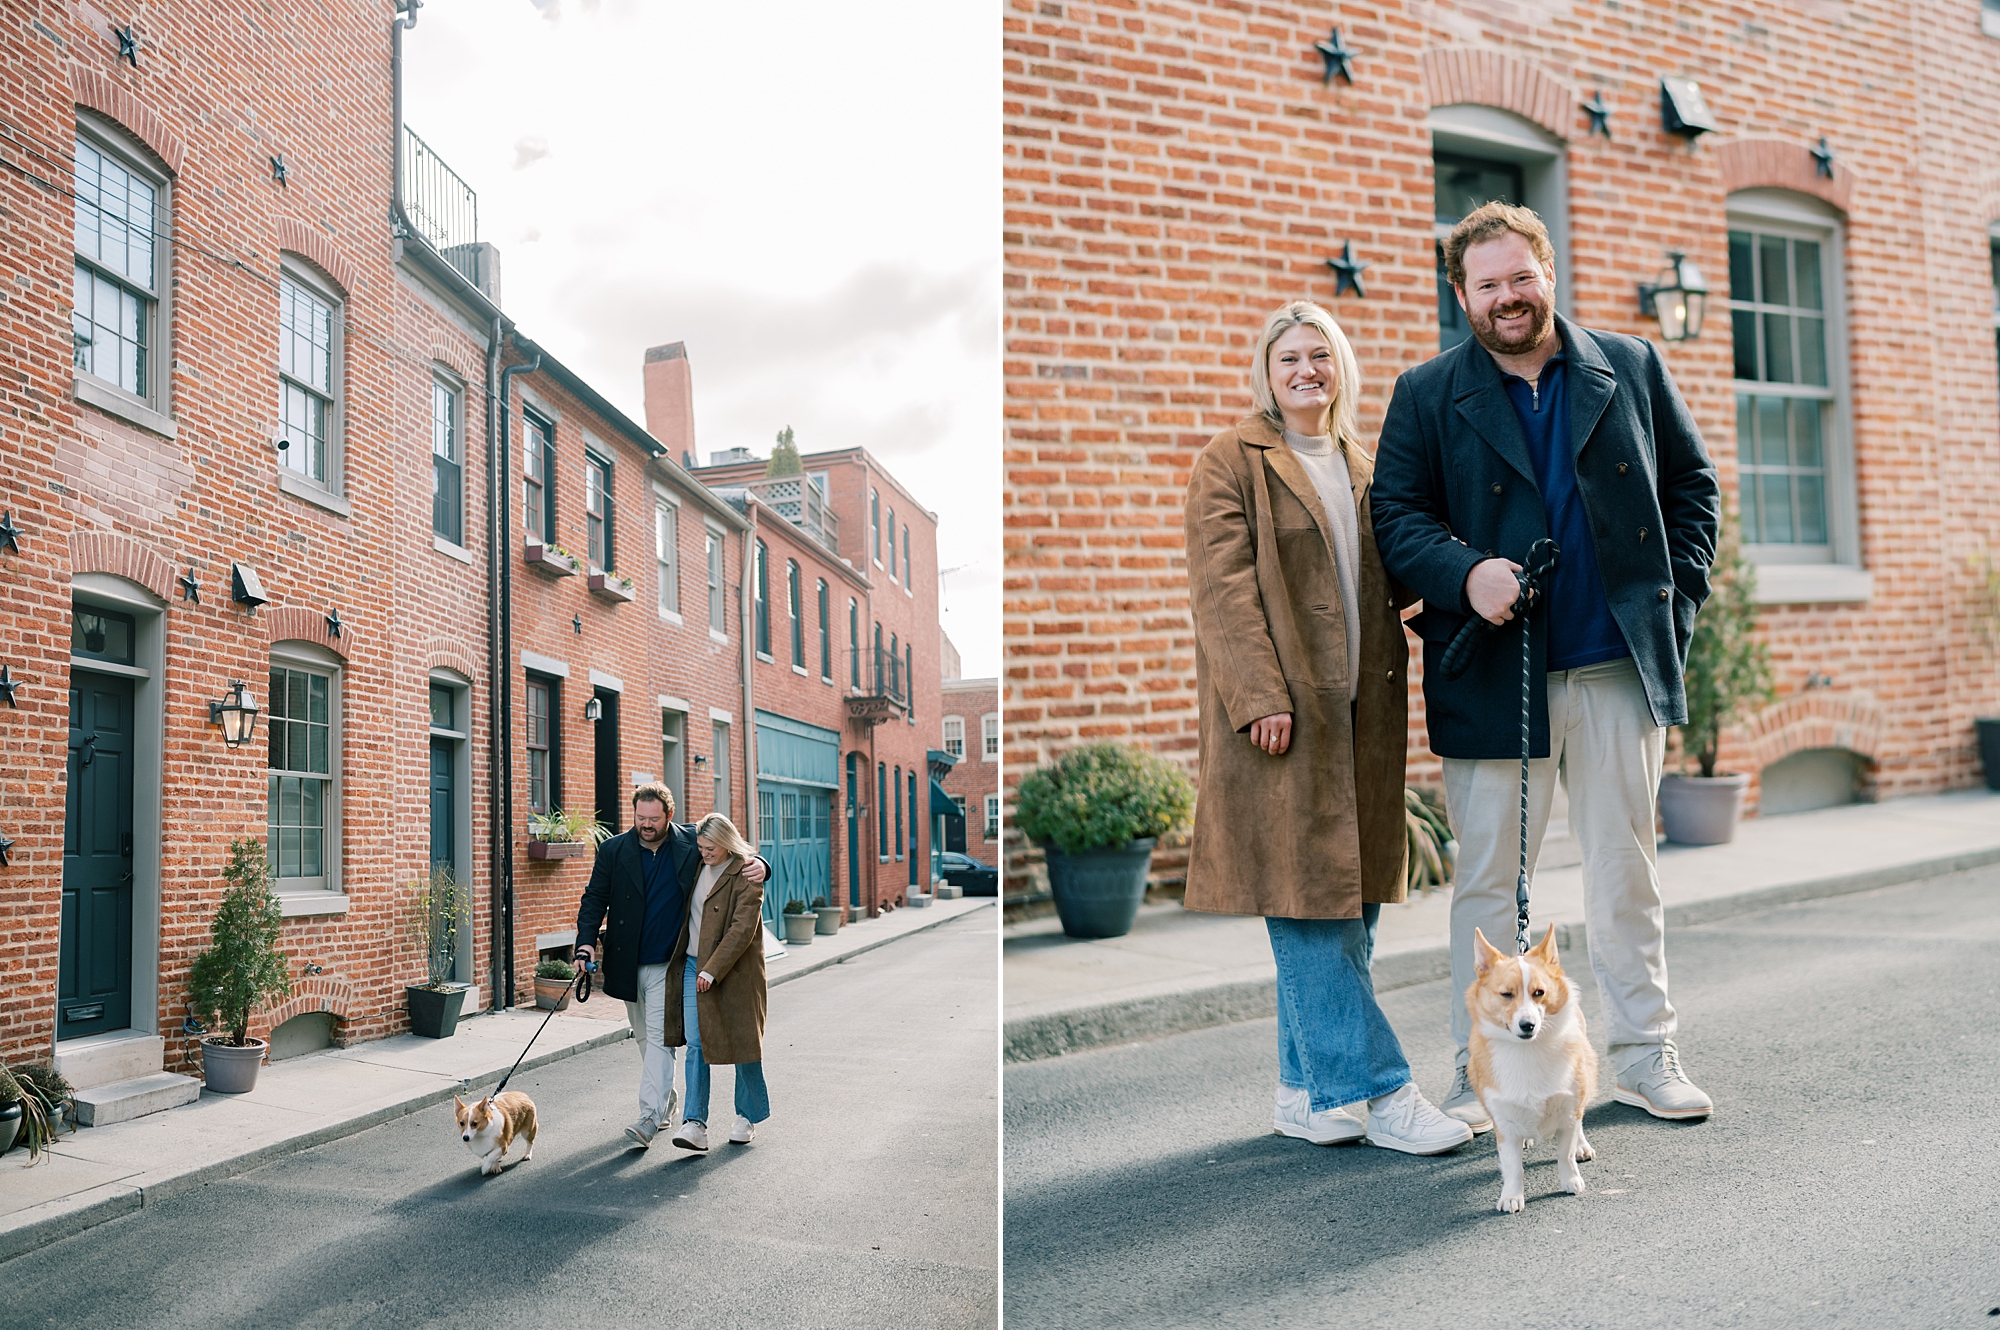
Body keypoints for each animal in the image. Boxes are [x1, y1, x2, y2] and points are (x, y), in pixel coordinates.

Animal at [1472, 924, 1592, 1216]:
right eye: (1506, 994)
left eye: (1539, 992)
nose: (1527, 1025)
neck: (1528, 1051)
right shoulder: (1503, 1123)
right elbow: (1513, 1167)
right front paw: (1512, 1197)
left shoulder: (1569, 1108)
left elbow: (1565, 1153)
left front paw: (1571, 1180)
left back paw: (1583, 1146)